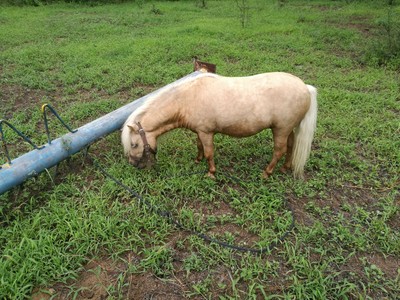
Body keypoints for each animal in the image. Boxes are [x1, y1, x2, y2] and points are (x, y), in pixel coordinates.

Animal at [120, 71, 318, 179]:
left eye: (134, 144)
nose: (133, 164)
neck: (187, 99)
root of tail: (305, 87)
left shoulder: (207, 132)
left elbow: (209, 152)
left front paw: (211, 173)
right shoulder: (200, 131)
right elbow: (199, 146)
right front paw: (197, 160)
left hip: (280, 130)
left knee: (279, 150)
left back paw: (267, 173)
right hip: (287, 129)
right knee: (291, 146)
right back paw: (285, 168)